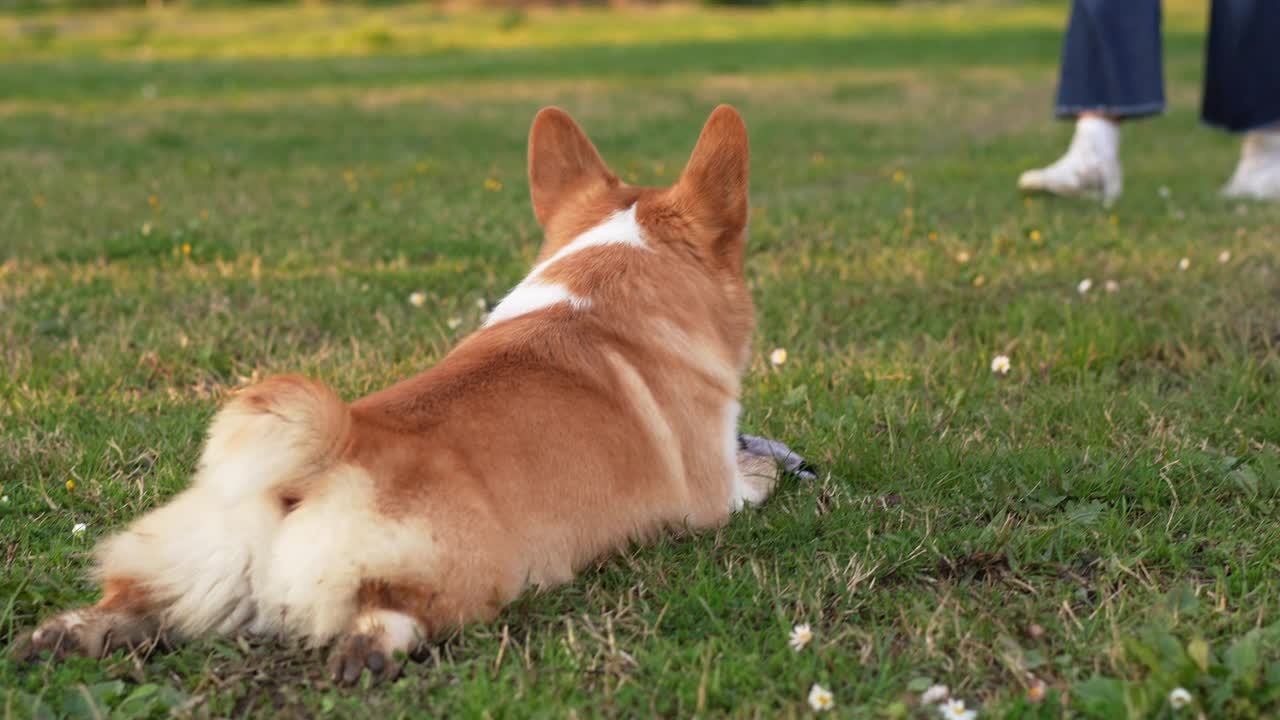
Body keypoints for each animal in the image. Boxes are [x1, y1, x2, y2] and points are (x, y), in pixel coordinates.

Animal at [22, 103, 798, 681]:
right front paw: (768, 462)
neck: (607, 279)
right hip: (466, 572)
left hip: (194, 561)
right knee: (392, 611)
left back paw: (64, 636)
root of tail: (325, 453)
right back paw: (369, 653)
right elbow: (756, 476)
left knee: (135, 603)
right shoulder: (714, 495)